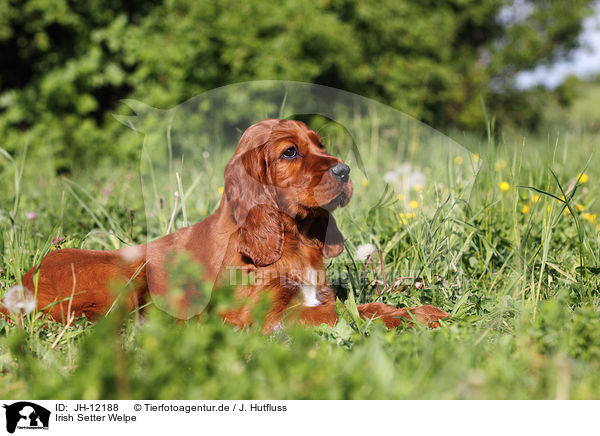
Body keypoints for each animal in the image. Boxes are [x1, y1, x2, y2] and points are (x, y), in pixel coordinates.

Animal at [2, 119, 448, 330]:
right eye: (290, 152)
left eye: (320, 145)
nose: (344, 170)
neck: (290, 239)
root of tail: (19, 287)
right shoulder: (258, 317)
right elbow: (341, 314)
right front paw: (407, 319)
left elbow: (362, 306)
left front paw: (425, 311)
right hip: (129, 271)